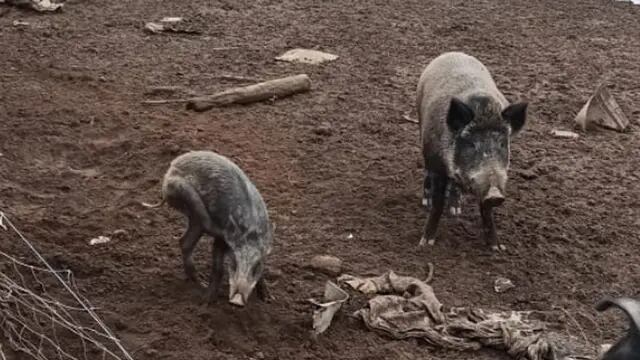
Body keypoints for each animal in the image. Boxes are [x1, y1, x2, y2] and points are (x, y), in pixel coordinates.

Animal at [142, 150, 272, 306]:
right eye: (234, 263)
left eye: (256, 266)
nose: (237, 300)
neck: (250, 229)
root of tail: (171, 169)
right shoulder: (221, 240)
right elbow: (218, 268)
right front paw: (206, 302)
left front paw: (269, 299)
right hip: (192, 203)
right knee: (187, 240)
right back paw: (201, 284)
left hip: (195, 218)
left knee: (184, 241)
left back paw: (198, 281)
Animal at [418, 52, 528, 250]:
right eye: (471, 144)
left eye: (502, 144)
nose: (495, 195)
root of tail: (452, 53)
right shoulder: (437, 166)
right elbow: (437, 204)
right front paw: (425, 243)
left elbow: (487, 211)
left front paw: (497, 247)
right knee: (426, 173)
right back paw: (427, 202)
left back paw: (456, 210)